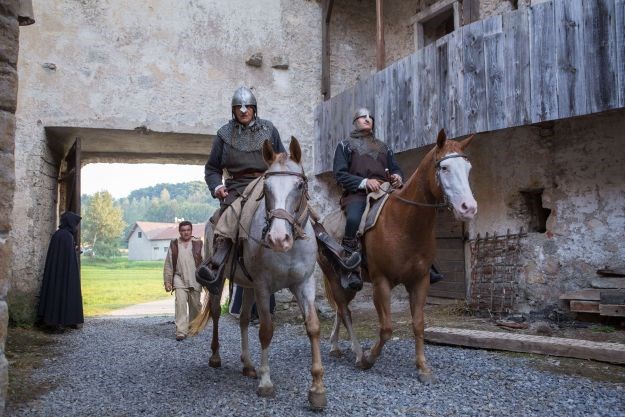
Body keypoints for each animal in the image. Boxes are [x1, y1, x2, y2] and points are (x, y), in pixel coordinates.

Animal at [191, 136, 326, 406]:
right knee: (216, 313)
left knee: (243, 319)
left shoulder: (304, 284)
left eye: (299, 185)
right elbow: (266, 330)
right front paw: (265, 383)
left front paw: (317, 388)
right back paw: (216, 357)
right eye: (266, 188)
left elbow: (313, 327)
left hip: (247, 285)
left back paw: (248, 365)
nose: (278, 239)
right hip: (221, 281)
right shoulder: (264, 288)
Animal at [320, 128, 476, 382]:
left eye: (468, 168)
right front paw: (369, 359)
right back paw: (357, 353)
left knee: (340, 311)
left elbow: (419, 324)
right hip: (334, 277)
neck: (404, 223)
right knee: (344, 310)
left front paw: (423, 367)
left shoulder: (420, 281)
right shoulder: (381, 283)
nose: (468, 208)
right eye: (444, 168)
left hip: (350, 283)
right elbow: (386, 328)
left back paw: (335, 346)